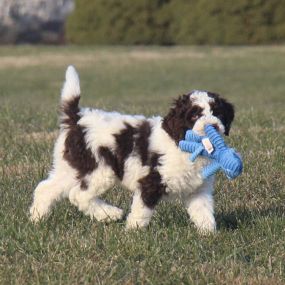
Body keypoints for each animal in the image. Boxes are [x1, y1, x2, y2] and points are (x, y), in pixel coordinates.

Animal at [29, 65, 233, 232]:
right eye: (194, 116)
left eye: (217, 113)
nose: (213, 126)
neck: (180, 141)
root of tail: (77, 118)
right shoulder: (151, 181)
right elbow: (142, 210)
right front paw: (133, 231)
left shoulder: (199, 189)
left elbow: (203, 211)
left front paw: (208, 234)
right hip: (101, 169)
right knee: (78, 195)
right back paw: (110, 214)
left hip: (71, 167)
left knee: (46, 188)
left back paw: (37, 218)